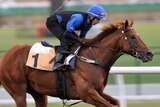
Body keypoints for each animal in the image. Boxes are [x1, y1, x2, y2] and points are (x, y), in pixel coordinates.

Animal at [0, 19, 153, 106]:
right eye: (133, 37)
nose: (149, 54)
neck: (92, 59)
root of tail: (5, 56)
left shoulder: (98, 91)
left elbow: (116, 102)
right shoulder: (87, 94)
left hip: (38, 93)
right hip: (18, 91)